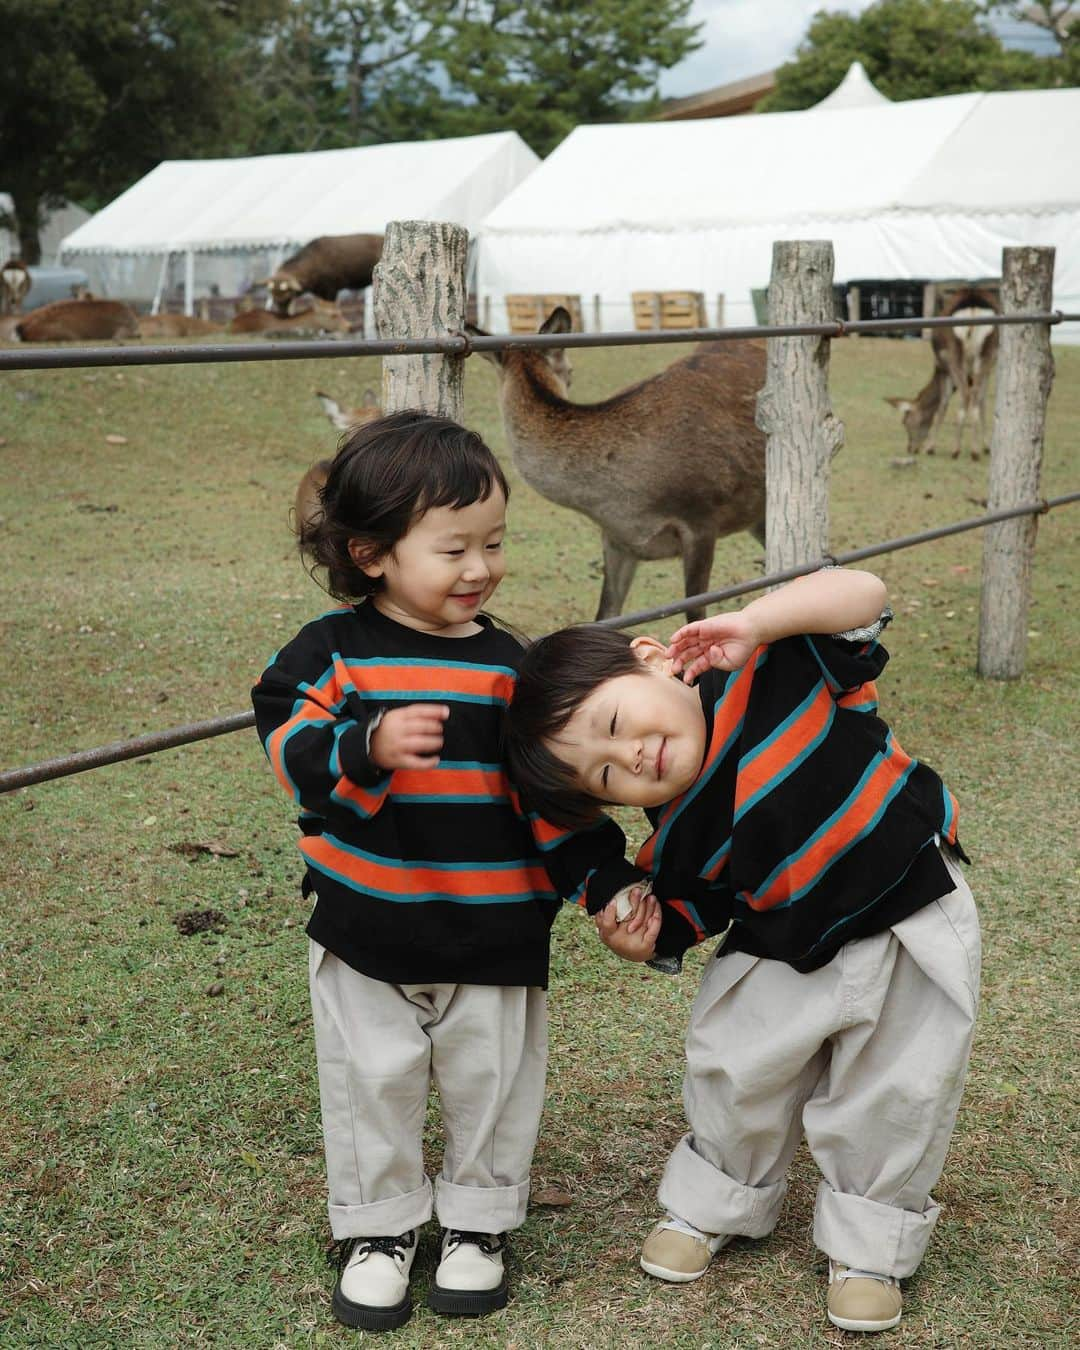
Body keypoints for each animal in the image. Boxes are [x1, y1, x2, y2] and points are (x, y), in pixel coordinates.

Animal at [885, 287, 1004, 461]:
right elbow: (982, 400)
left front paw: (930, 447)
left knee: (965, 393)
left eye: (905, 421)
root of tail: (973, 307)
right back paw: (975, 450)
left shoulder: (942, 365)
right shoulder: (989, 368)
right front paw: (987, 447)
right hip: (987, 352)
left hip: (953, 354)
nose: (911, 448)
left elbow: (943, 403)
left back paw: (958, 450)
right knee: (974, 394)